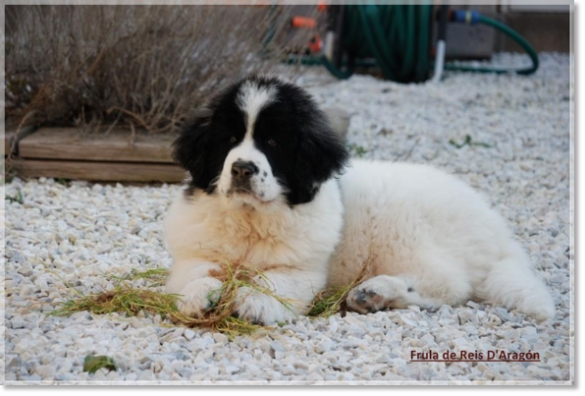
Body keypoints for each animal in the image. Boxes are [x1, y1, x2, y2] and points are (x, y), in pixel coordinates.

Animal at [163, 75, 552, 324]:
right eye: (229, 139)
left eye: (273, 143)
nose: (242, 168)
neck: (251, 218)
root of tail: (497, 229)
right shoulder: (195, 252)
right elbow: (197, 273)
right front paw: (199, 295)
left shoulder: (302, 269)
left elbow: (275, 282)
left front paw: (256, 304)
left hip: (405, 230)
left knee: (449, 283)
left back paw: (376, 290)